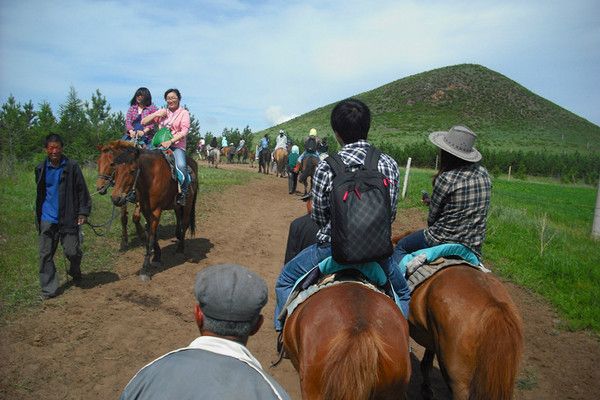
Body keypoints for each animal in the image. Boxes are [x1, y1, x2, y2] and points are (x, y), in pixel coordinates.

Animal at [110, 144, 199, 282]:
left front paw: (145, 269)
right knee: (179, 219)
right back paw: (178, 237)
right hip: (176, 205)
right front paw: (157, 257)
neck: (151, 178)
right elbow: (153, 233)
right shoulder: (146, 210)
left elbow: (150, 238)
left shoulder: (156, 211)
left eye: (132, 170)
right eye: (115, 171)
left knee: (185, 224)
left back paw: (180, 249)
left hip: (188, 204)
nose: (116, 199)